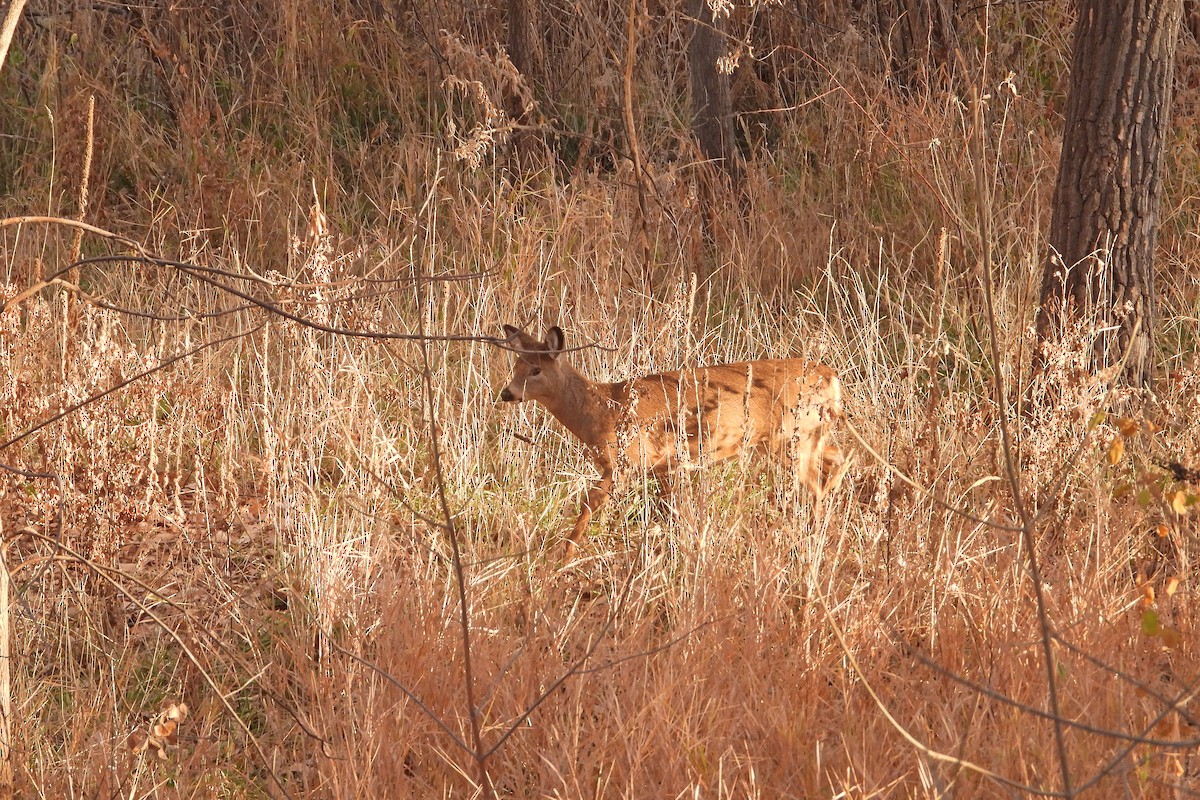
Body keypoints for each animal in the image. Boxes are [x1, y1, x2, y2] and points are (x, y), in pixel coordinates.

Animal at [498, 324, 848, 549]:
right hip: (806, 437)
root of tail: (831, 376)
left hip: (791, 439)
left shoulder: (625, 461)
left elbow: (588, 506)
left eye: (536, 370)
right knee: (839, 459)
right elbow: (674, 512)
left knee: (817, 483)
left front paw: (564, 554)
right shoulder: (664, 466)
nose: (506, 393)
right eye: (515, 366)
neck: (600, 409)